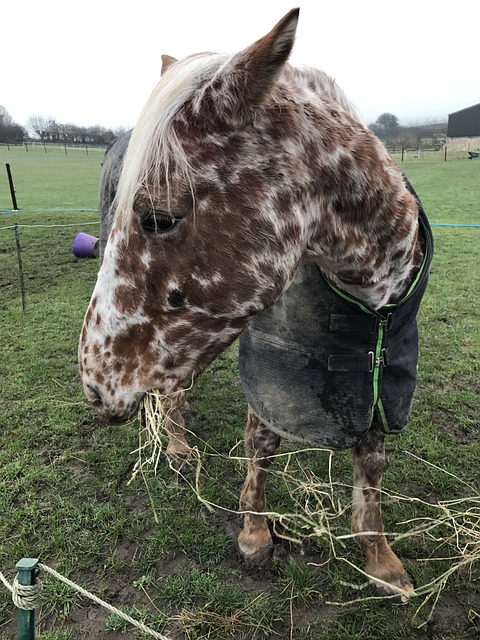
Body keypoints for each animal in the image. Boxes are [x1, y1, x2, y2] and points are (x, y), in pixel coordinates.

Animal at [79, 8, 432, 600]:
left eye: (159, 218)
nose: (93, 382)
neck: (369, 296)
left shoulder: (378, 376)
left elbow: (371, 462)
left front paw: (381, 560)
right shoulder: (270, 365)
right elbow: (260, 443)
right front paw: (255, 534)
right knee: (174, 394)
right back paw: (177, 446)